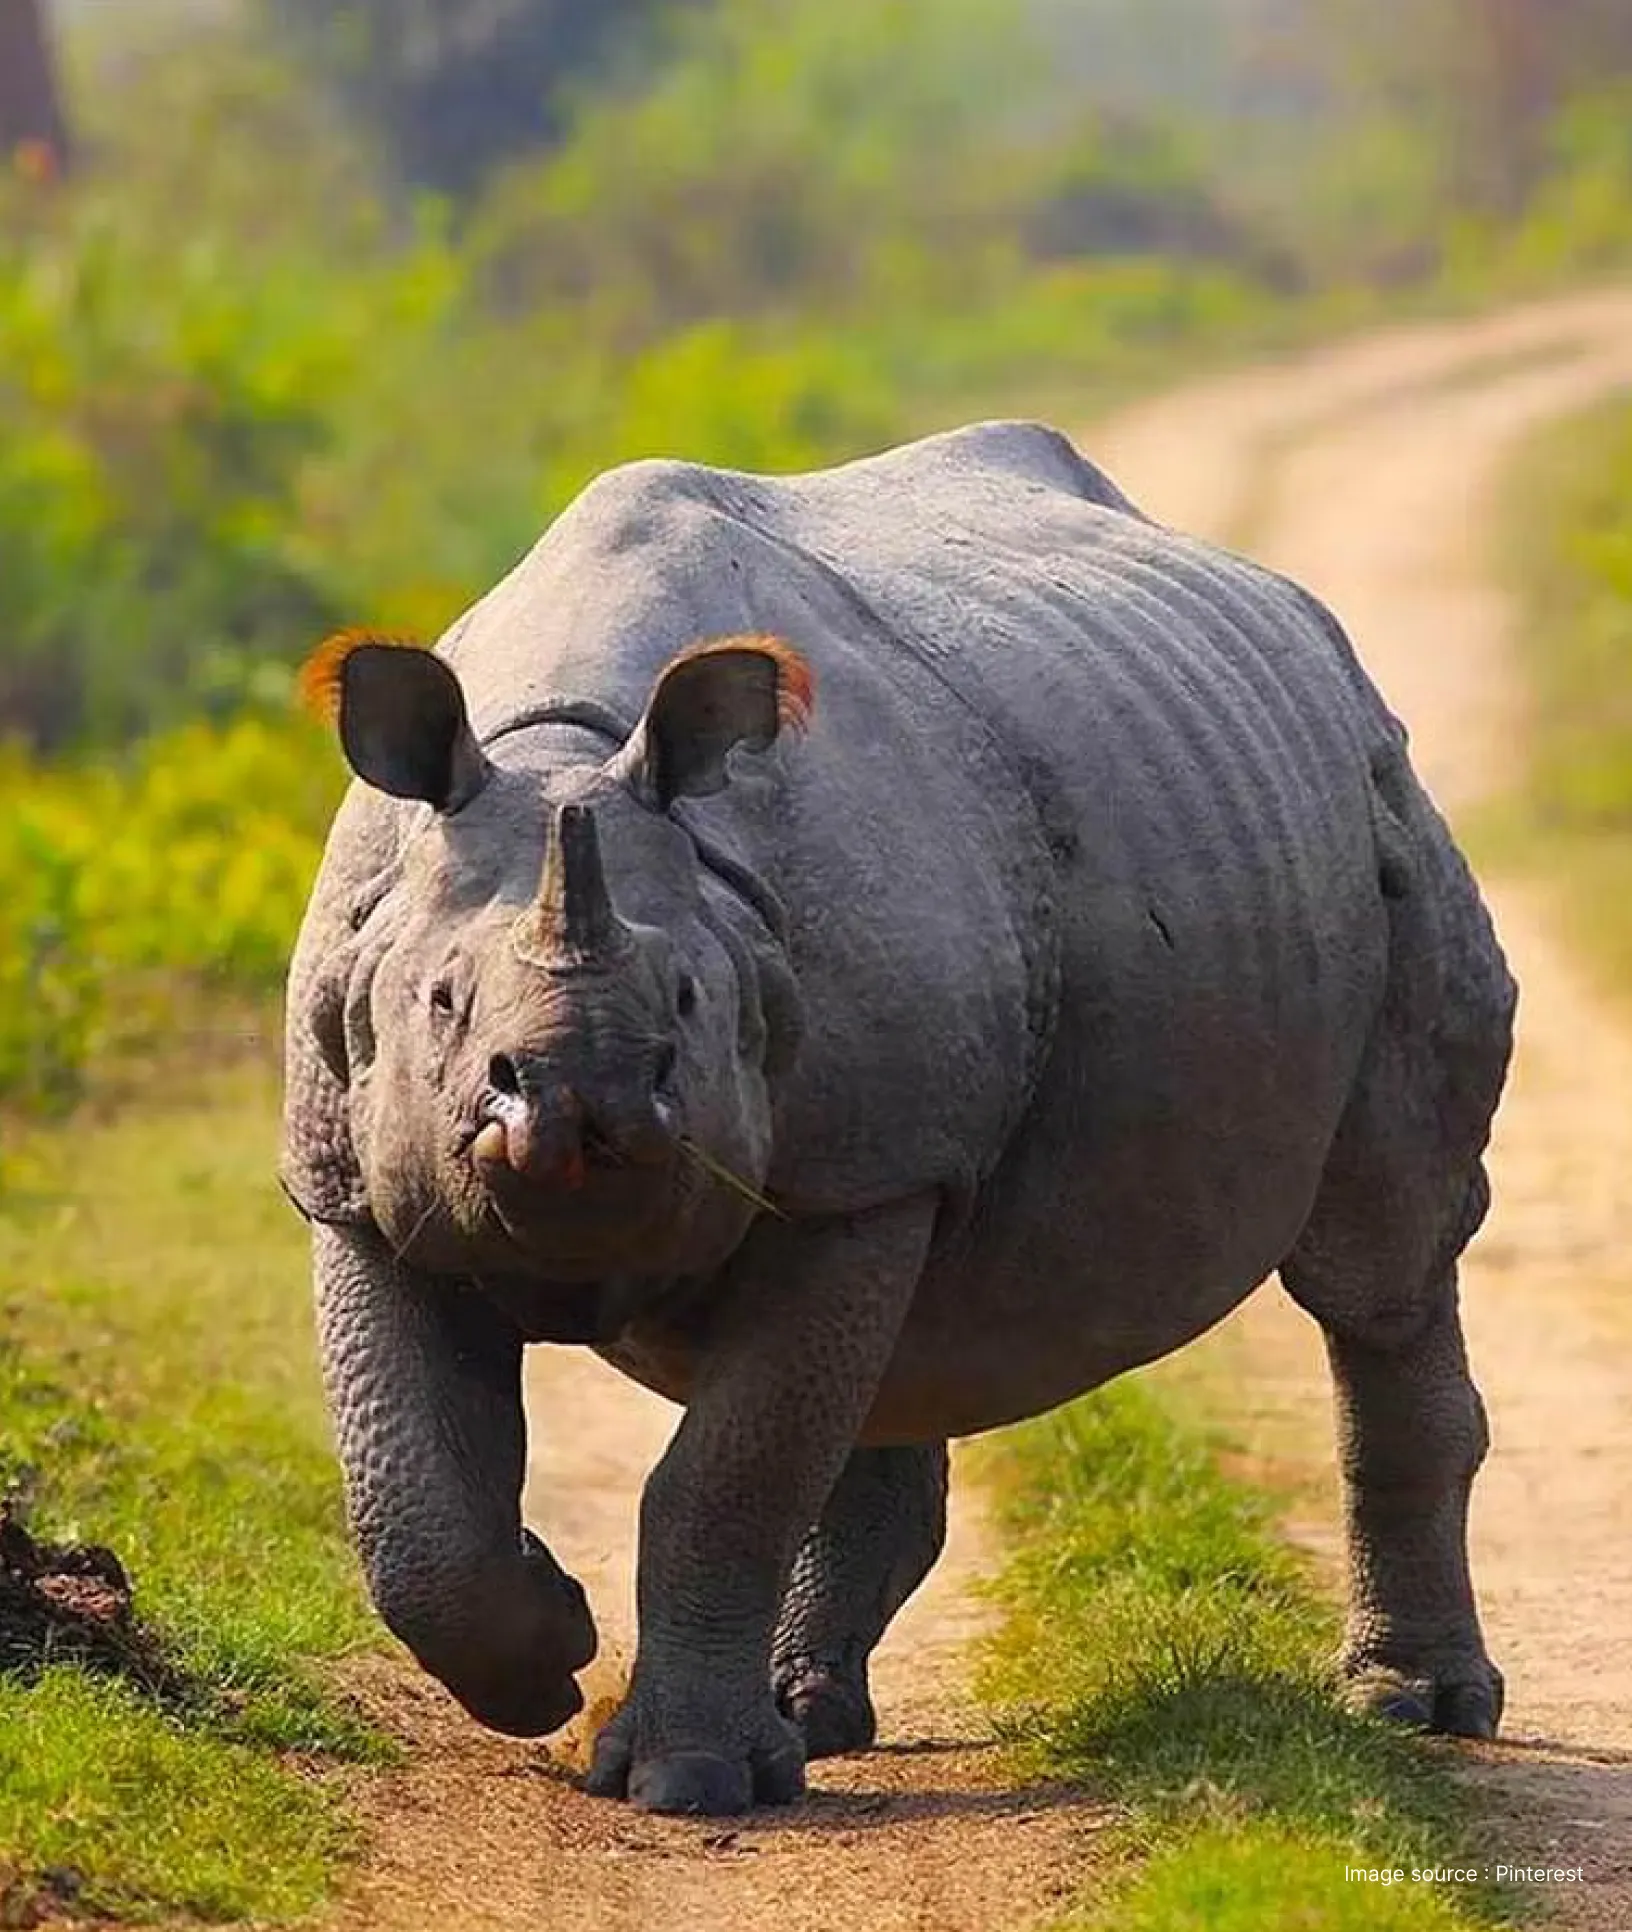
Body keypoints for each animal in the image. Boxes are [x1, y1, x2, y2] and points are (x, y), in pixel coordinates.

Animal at [282, 421, 1515, 1816]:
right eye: (439, 1003)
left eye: (691, 1003)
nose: (578, 1109)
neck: (560, 749)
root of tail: (1312, 632)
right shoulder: (347, 1172)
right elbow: (411, 1496)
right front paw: (549, 1654)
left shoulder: (861, 1171)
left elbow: (727, 1477)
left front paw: (685, 1783)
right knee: (903, 1353)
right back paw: (807, 1719)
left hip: (1378, 802)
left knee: (1378, 1267)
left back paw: (1418, 1707)